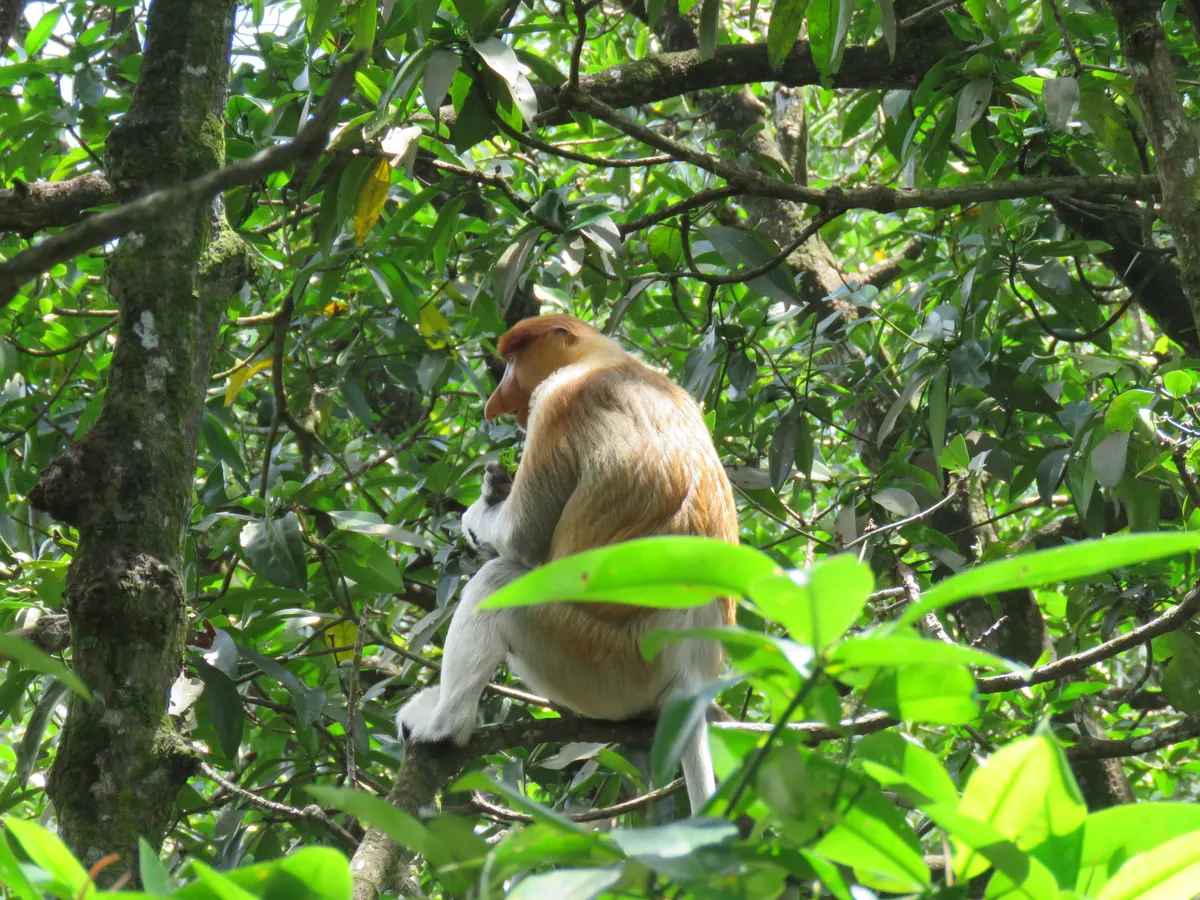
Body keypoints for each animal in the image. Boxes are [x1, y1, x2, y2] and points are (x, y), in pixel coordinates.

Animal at [396, 314, 738, 813]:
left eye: (513, 361)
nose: (495, 403)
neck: (606, 360)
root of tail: (689, 671)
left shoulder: (557, 403)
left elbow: (520, 537)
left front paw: (479, 515)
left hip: (596, 660)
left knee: (497, 582)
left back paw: (442, 727)